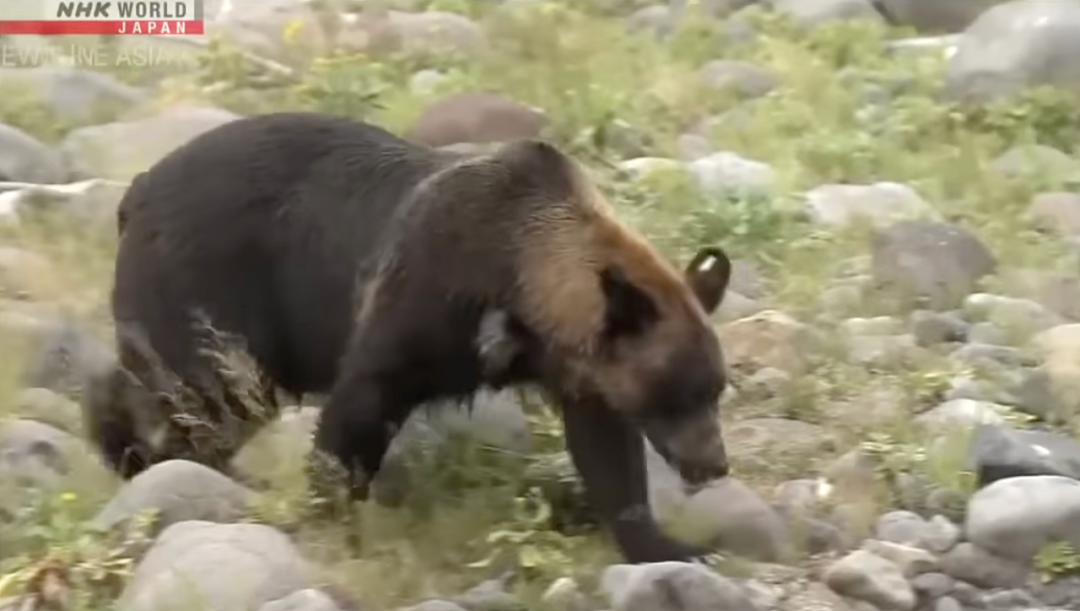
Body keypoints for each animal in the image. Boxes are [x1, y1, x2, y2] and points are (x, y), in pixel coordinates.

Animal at [96, 111, 734, 564]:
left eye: (713, 389)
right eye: (676, 393)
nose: (714, 464)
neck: (514, 278)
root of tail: (136, 190)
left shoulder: (573, 368)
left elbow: (607, 455)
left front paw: (671, 547)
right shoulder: (421, 294)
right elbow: (361, 407)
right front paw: (333, 519)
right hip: (210, 286)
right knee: (197, 390)